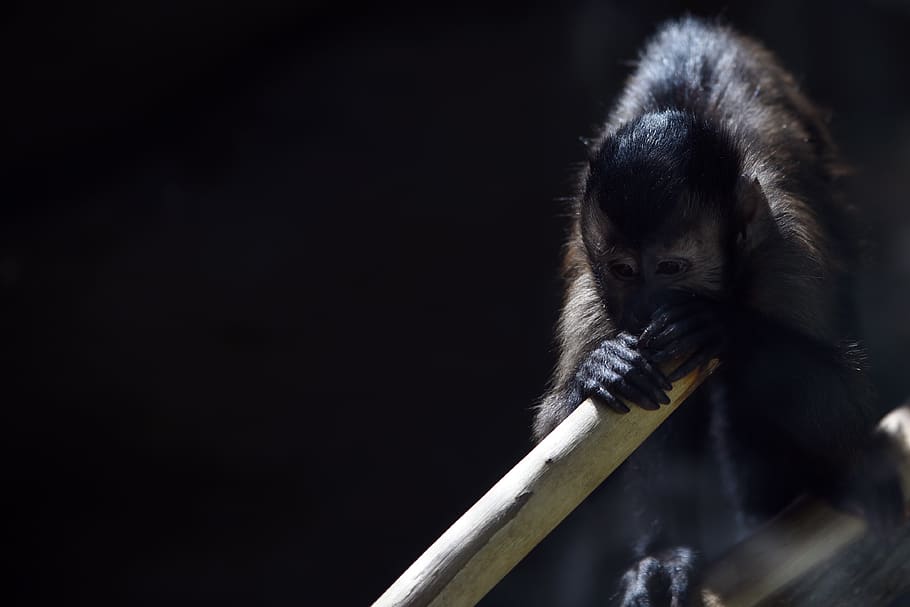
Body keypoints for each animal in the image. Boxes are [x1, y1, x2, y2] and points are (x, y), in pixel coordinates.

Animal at [533, 17, 905, 607]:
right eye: (623, 270)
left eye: (671, 268)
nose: (649, 306)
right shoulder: (591, 292)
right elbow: (554, 465)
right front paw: (601, 368)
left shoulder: (784, 252)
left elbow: (842, 399)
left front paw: (722, 327)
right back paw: (663, 557)